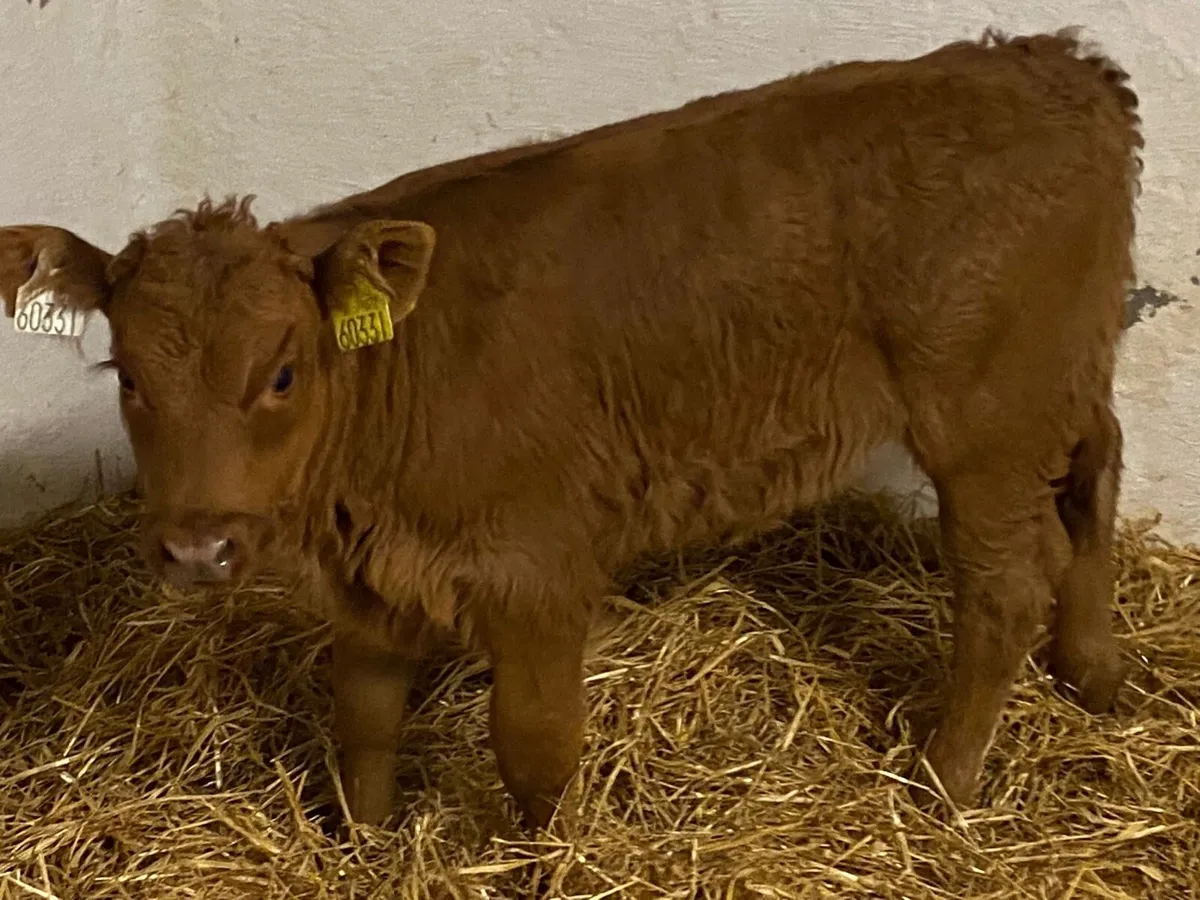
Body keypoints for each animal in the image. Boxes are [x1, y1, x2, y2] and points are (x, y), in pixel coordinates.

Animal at [0, 28, 1142, 829]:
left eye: (281, 373)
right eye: (129, 376)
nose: (199, 548)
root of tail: (1050, 61)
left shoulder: (538, 570)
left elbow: (535, 750)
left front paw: (544, 858)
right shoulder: (375, 575)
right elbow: (362, 723)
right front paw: (364, 844)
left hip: (988, 419)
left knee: (1006, 584)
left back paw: (943, 781)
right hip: (1070, 372)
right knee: (1095, 484)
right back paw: (1094, 674)